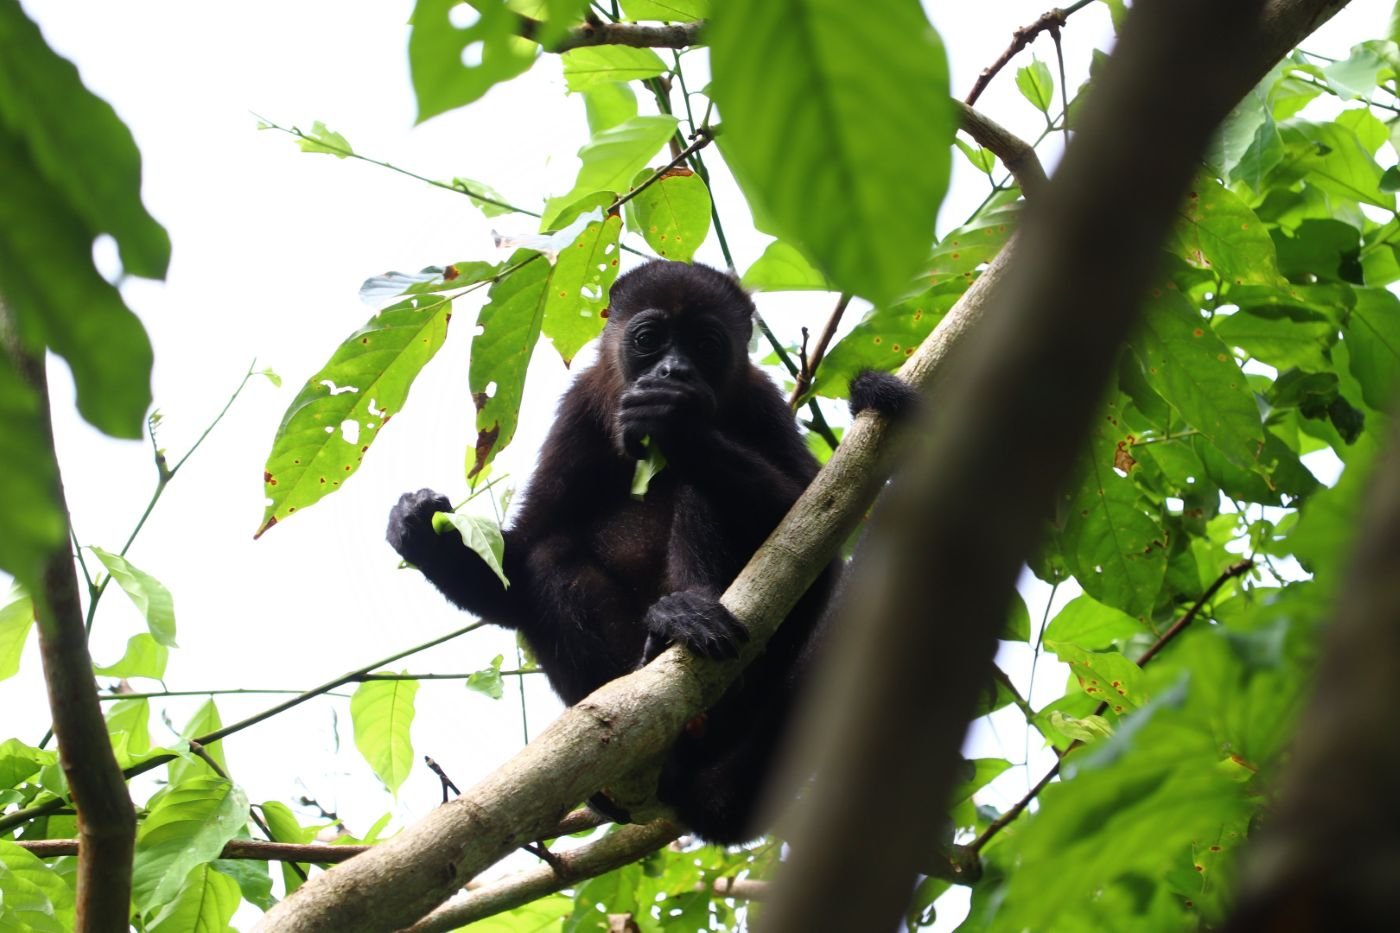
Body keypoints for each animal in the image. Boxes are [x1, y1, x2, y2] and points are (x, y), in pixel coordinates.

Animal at [387, 259, 916, 843]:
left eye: (705, 344)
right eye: (648, 340)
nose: (672, 372)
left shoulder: (763, 400)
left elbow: (815, 509)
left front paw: (680, 426)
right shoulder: (579, 406)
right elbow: (522, 562)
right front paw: (418, 529)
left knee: (703, 495)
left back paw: (683, 616)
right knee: (552, 553)